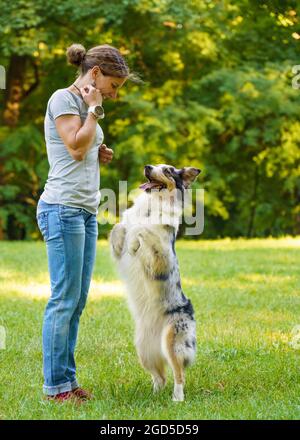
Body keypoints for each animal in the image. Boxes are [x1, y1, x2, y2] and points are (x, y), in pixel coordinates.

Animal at [109, 163, 200, 400]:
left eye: (167, 170)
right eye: (155, 165)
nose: (147, 167)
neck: (153, 204)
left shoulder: (162, 260)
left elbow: (144, 230)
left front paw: (134, 242)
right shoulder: (119, 245)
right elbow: (120, 227)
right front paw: (124, 240)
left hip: (173, 341)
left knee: (178, 374)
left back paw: (177, 398)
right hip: (143, 349)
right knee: (160, 377)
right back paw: (154, 395)